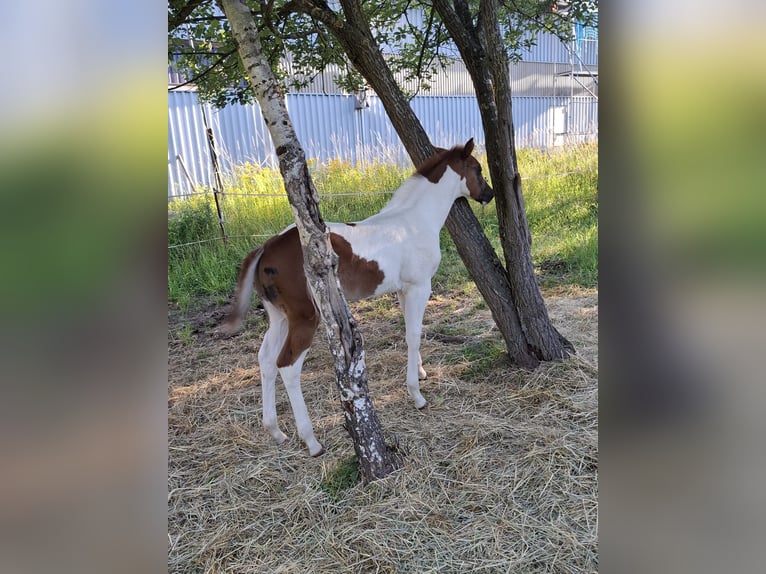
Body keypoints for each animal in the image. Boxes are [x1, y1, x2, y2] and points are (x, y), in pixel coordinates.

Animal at [222, 137, 498, 456]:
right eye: (478, 169)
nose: (489, 194)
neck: (415, 221)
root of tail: (266, 247)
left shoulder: (403, 289)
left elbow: (410, 332)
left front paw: (421, 373)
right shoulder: (420, 286)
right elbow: (415, 334)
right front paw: (416, 395)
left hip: (279, 316)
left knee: (265, 359)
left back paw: (276, 431)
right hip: (305, 316)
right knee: (287, 366)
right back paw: (311, 441)